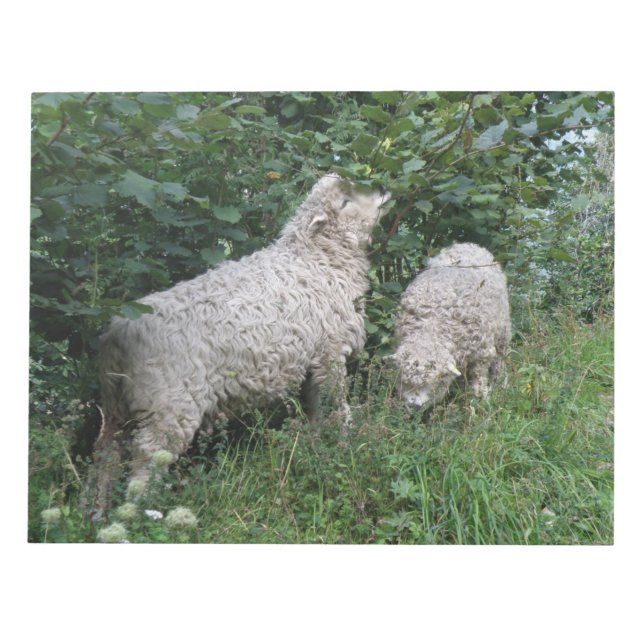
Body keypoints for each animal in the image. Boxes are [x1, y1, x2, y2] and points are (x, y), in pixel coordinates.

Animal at [89, 174, 390, 515]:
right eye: (345, 202)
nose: (382, 189)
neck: (317, 259)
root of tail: (117, 333)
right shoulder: (330, 351)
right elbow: (336, 403)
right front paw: (346, 441)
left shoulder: (313, 357)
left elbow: (315, 405)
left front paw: (316, 442)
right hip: (167, 405)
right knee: (147, 458)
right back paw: (140, 511)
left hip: (117, 407)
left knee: (106, 455)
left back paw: (96, 511)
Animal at [388, 242, 511, 409]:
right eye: (405, 380)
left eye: (432, 382)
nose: (413, 406)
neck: (431, 327)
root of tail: (467, 245)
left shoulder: (482, 354)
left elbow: (478, 380)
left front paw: (481, 400)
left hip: (503, 332)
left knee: (499, 359)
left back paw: (499, 383)